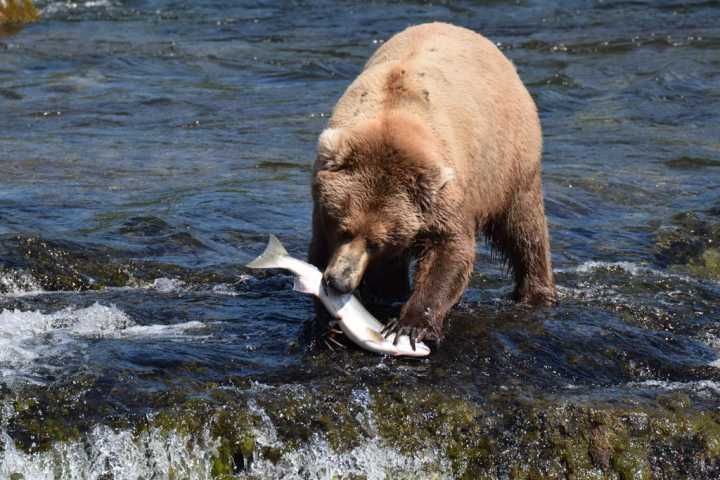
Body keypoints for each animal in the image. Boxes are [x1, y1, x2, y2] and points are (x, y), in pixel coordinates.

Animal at [310, 22, 556, 344]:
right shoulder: (322, 206)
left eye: (376, 243)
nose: (340, 281)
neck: (392, 120)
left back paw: (537, 294)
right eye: (342, 228)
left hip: (509, 163)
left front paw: (410, 325)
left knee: (524, 229)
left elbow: (450, 250)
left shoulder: (445, 195)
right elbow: (318, 251)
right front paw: (329, 322)